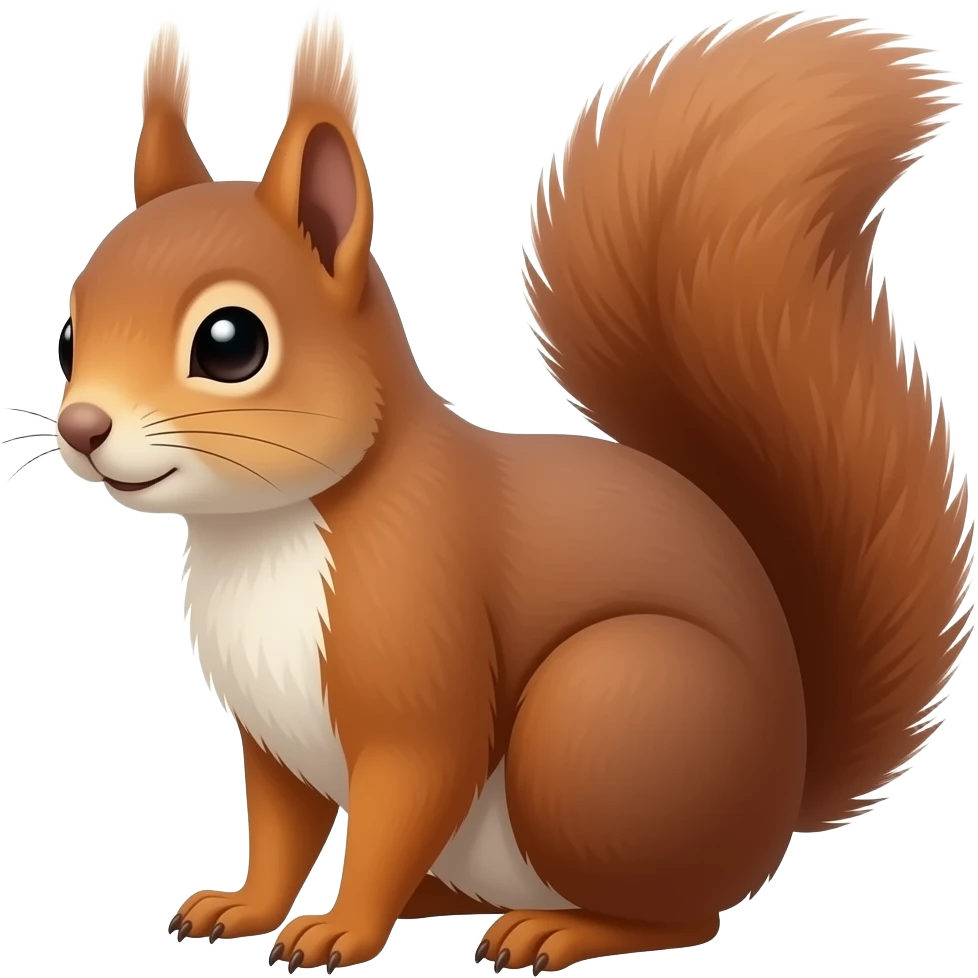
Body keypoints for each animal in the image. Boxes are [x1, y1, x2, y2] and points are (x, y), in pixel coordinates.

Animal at [53, 4, 972, 974]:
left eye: (231, 343)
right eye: (70, 334)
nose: (82, 428)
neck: (262, 534)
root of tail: (777, 804)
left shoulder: (423, 671)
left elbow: (402, 800)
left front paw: (343, 927)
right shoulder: (272, 734)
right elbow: (278, 829)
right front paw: (242, 906)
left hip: (605, 725)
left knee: (686, 915)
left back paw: (556, 930)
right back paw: (441, 902)